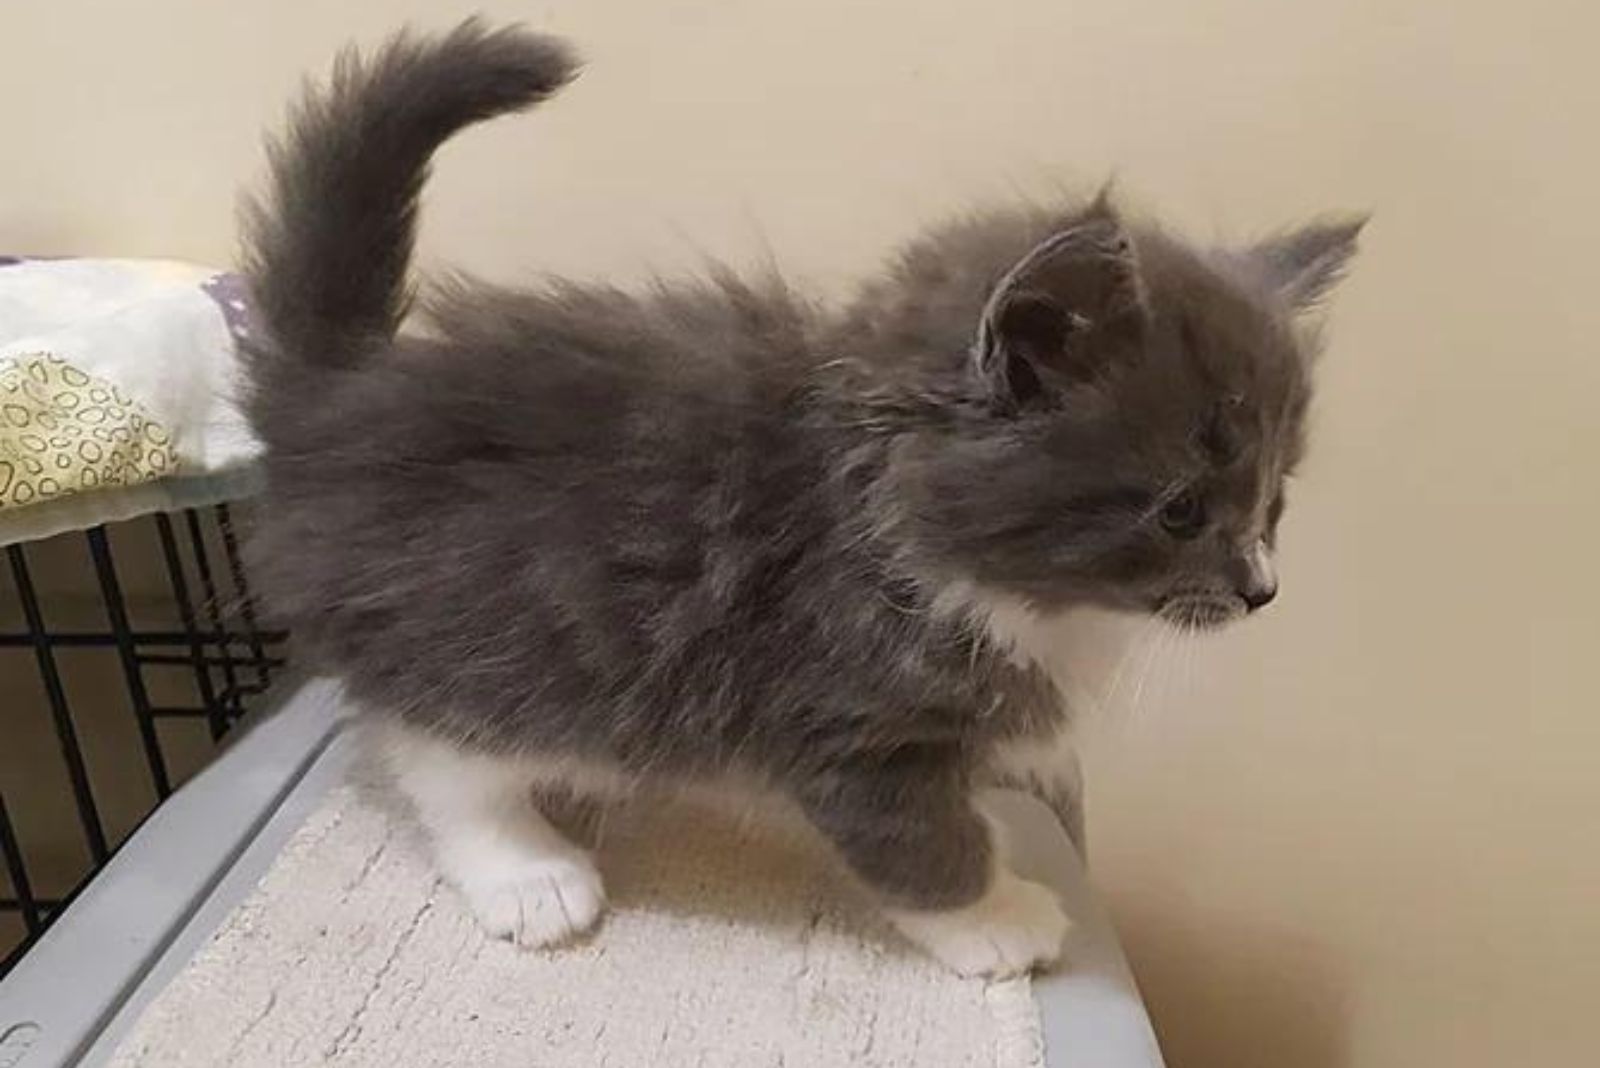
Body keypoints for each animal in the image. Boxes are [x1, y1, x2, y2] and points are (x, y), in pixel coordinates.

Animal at [240, 20, 1363, 978]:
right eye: (1180, 510)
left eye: (1275, 499)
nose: (1261, 589)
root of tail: (338, 392)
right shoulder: (839, 710)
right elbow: (919, 840)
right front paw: (995, 920)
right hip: (483, 638)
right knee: (433, 748)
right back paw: (527, 872)